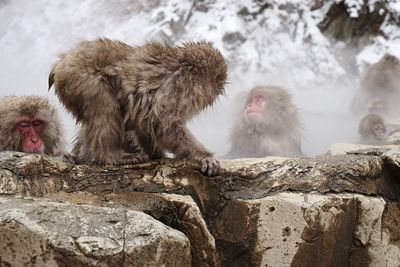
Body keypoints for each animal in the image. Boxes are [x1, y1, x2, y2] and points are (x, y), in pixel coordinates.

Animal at [48, 37, 227, 176]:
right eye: (212, 86)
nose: (212, 97)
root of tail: (61, 62)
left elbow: (145, 123)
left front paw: (157, 154)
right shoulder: (175, 89)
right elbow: (162, 124)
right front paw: (203, 156)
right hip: (83, 80)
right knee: (106, 109)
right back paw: (109, 156)